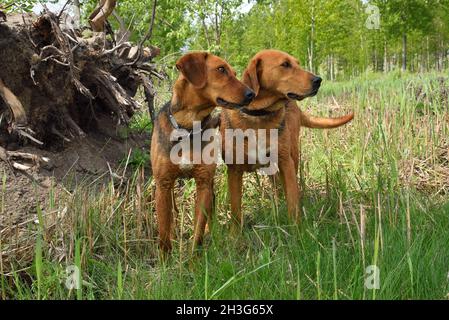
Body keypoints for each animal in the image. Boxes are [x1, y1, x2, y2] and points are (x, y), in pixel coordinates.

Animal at [151, 52, 254, 252]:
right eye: (221, 69)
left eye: (234, 72)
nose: (251, 94)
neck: (188, 128)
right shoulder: (163, 183)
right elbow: (164, 234)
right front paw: (165, 258)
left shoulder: (203, 183)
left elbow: (198, 231)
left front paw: (194, 258)